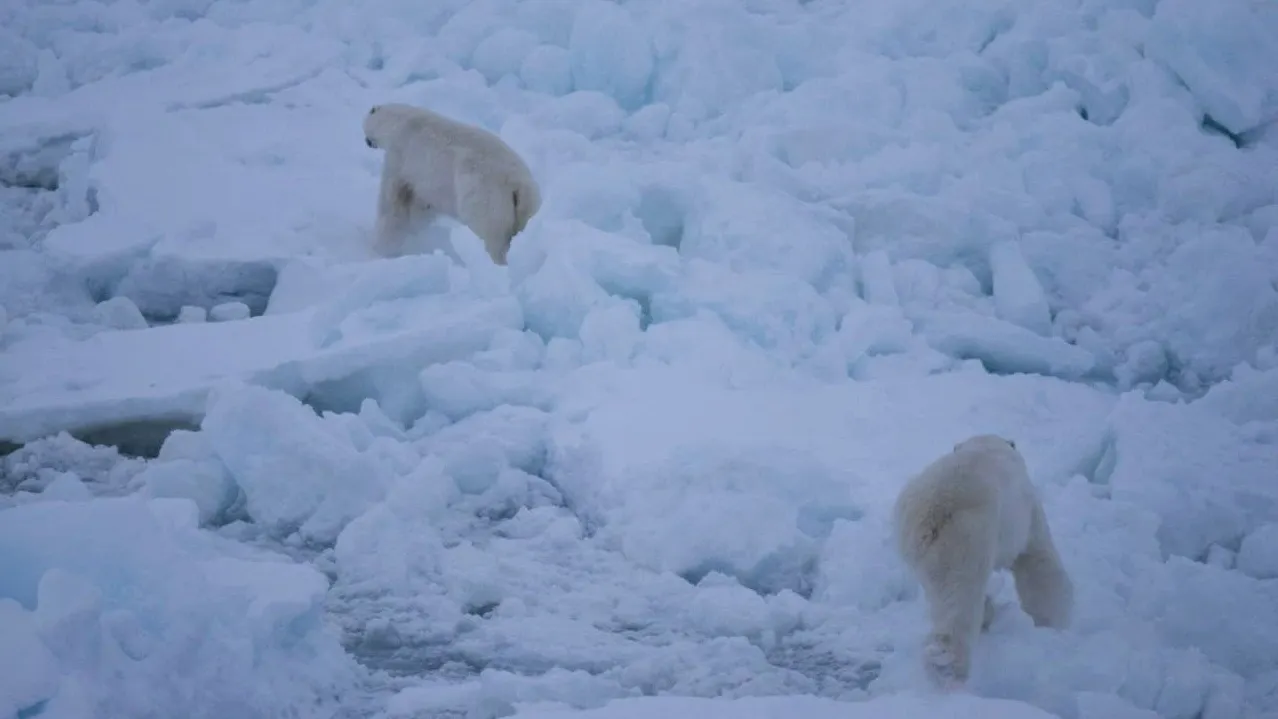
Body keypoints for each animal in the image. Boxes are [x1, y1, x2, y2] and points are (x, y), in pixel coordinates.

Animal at [362, 102, 541, 265]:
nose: (367, 141)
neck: (399, 121)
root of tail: (519, 186)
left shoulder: (402, 154)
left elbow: (392, 200)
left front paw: (381, 246)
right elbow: (421, 205)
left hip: (486, 197)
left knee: (490, 235)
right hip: (524, 211)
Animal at [894, 434, 1073, 689]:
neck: (987, 445)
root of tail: (934, 510)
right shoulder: (1027, 514)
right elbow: (1038, 563)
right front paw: (1054, 622)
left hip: (914, 542)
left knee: (942, 593)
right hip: (968, 536)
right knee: (962, 595)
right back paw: (949, 667)